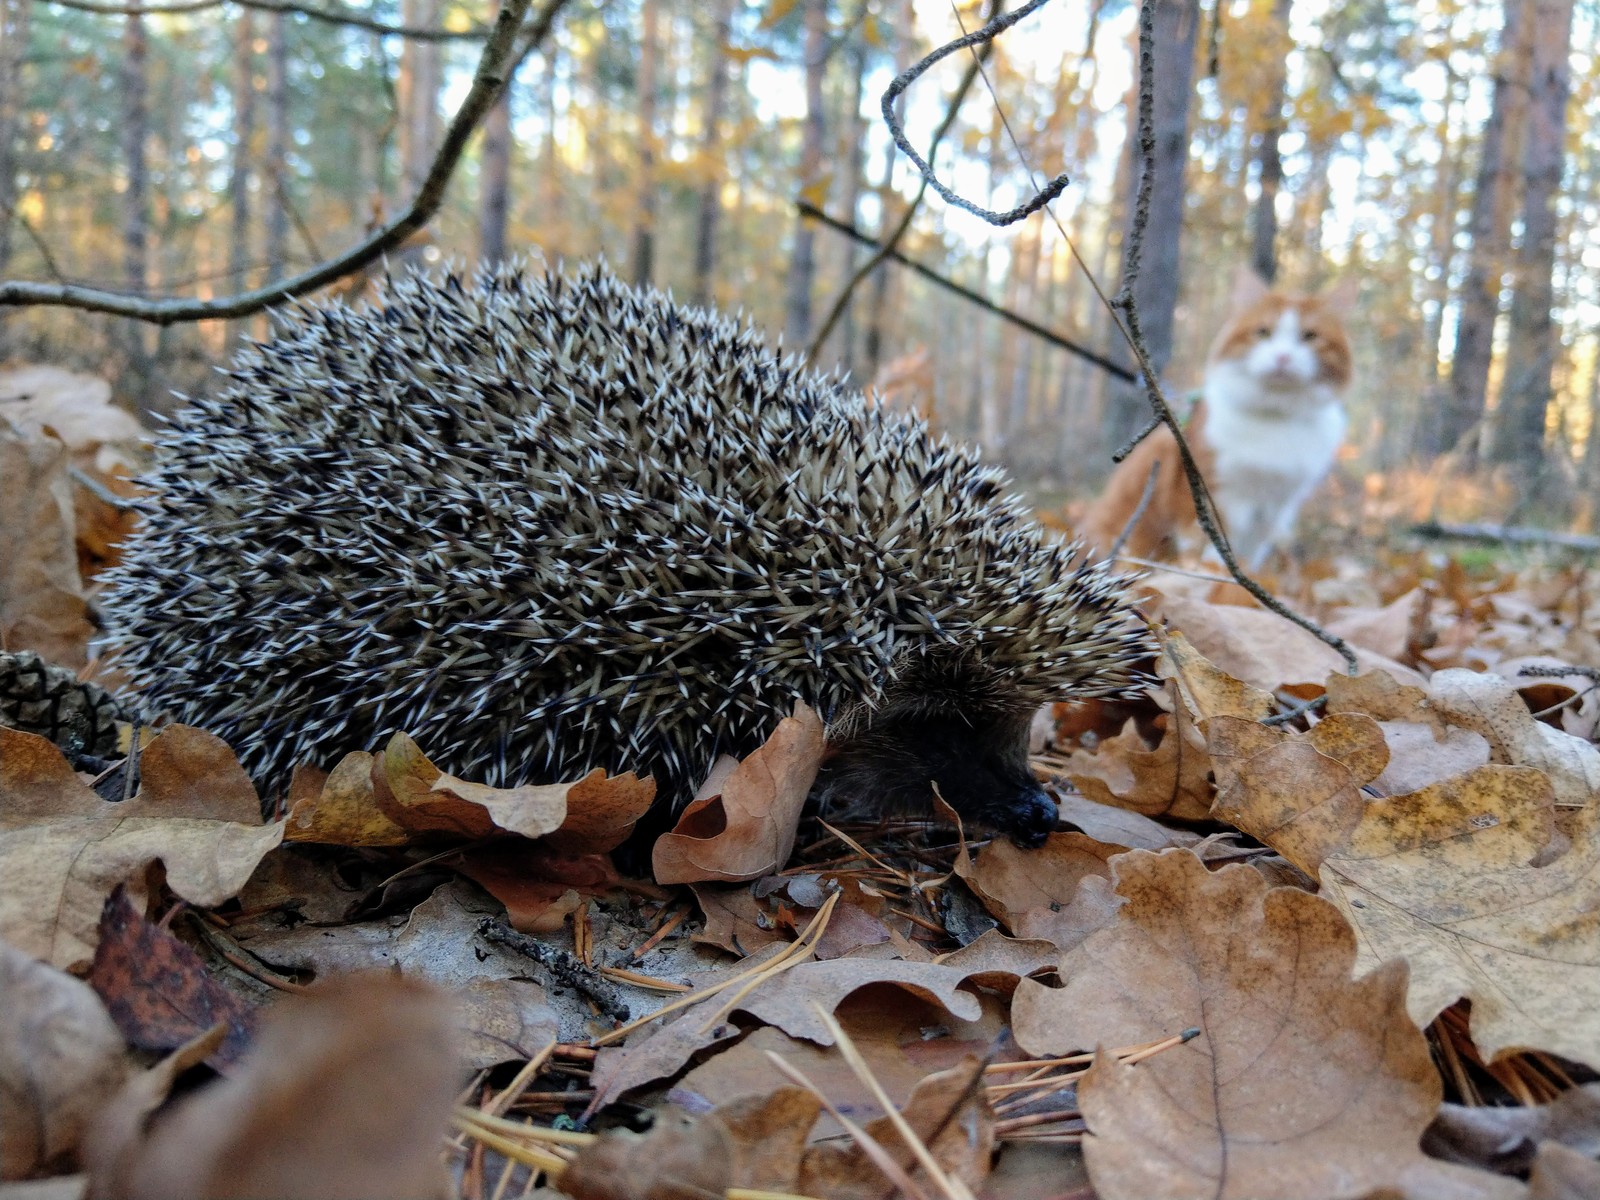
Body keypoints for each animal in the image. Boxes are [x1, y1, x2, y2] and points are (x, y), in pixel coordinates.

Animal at [1081, 272, 1356, 572]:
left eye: (1310, 336)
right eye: (1263, 332)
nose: (1283, 357)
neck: (1275, 415)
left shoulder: (1277, 507)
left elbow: (1253, 550)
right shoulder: (1204, 490)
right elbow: (1210, 547)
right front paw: (1210, 573)